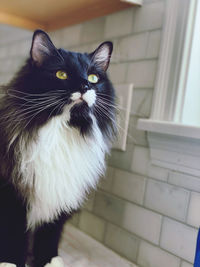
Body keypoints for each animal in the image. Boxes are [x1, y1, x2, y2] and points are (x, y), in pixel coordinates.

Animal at [0, 29, 115, 267]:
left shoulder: (59, 196)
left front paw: (49, 261)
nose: (85, 86)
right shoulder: (12, 194)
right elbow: (14, 234)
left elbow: (49, 235)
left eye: (93, 78)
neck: (59, 131)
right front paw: (10, 262)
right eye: (61, 74)